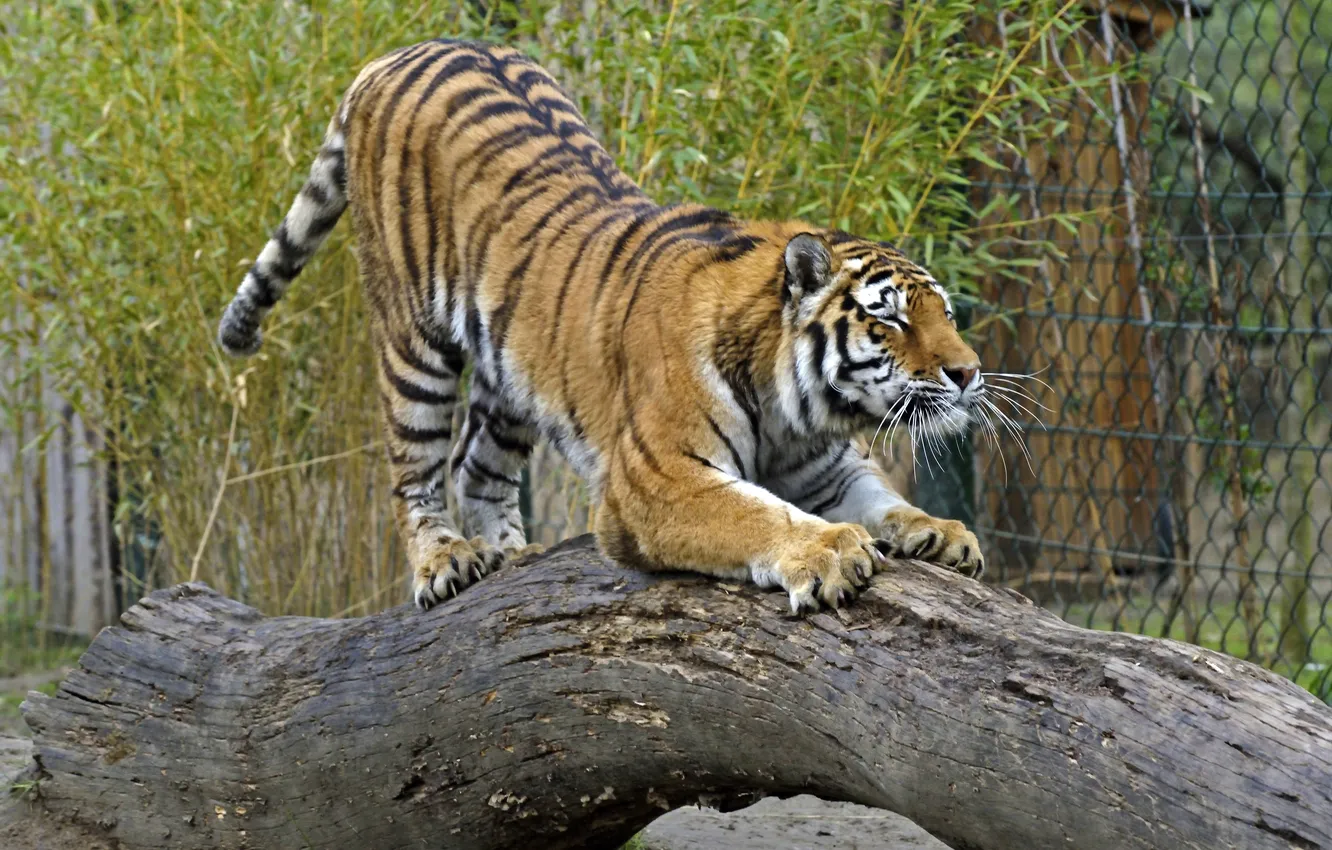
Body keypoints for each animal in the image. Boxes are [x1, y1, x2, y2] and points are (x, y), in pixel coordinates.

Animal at [218, 38, 987, 615]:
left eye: (945, 313)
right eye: (889, 317)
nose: (969, 373)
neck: (795, 410)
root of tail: (401, 51)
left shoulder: (825, 467)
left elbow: (884, 499)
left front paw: (942, 533)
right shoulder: (656, 480)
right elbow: (758, 516)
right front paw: (829, 551)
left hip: (515, 368)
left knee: (476, 465)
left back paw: (511, 553)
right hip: (413, 343)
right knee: (416, 471)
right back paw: (445, 562)